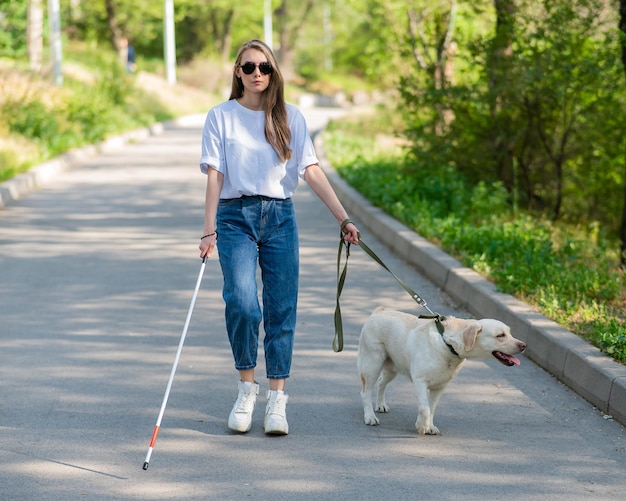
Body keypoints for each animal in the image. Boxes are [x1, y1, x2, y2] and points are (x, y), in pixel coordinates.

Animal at [356, 304, 520, 434]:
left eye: (510, 333)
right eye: (500, 335)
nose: (523, 345)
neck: (447, 344)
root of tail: (378, 312)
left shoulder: (439, 387)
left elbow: (431, 408)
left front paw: (429, 426)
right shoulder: (420, 381)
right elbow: (425, 408)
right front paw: (422, 426)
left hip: (392, 369)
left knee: (381, 383)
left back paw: (380, 405)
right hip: (373, 364)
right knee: (365, 392)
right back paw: (370, 417)